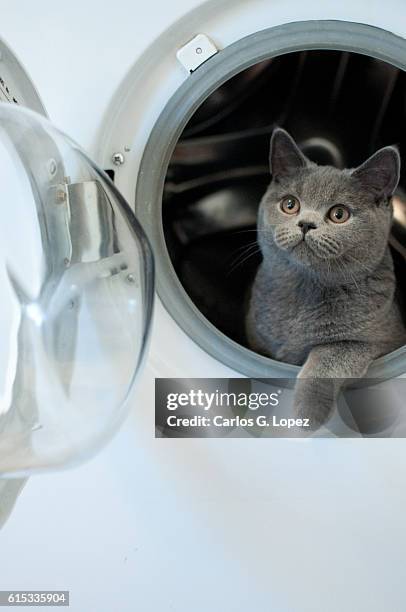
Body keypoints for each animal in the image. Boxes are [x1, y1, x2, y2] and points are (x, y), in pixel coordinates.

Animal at [246, 126, 406, 428]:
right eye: (290, 204)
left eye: (339, 214)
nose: (306, 224)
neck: (304, 291)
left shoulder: (383, 340)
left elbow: (330, 354)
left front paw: (308, 413)